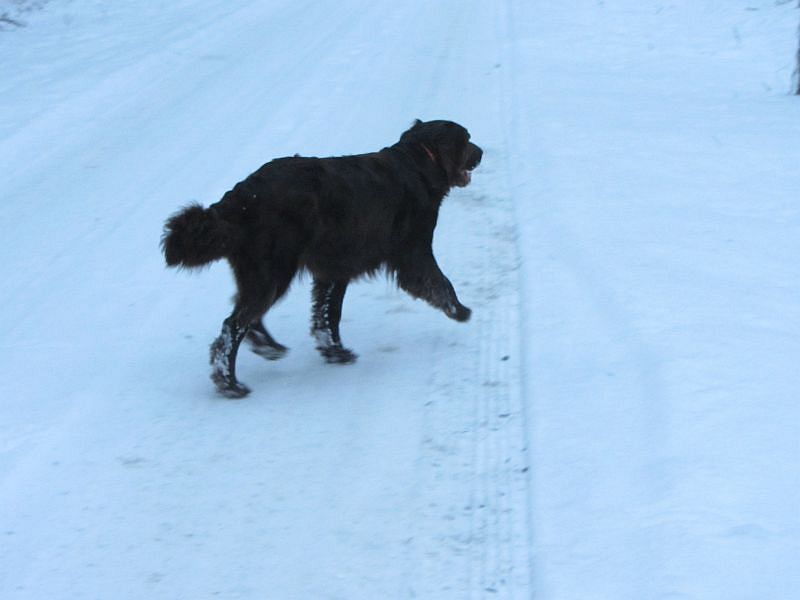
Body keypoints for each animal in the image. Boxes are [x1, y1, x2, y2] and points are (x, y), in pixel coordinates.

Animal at [162, 119, 482, 397]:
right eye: (466, 139)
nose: (481, 152)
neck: (418, 162)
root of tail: (241, 198)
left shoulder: (334, 269)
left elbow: (327, 316)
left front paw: (334, 352)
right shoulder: (413, 253)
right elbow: (440, 283)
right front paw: (460, 310)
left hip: (262, 274)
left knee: (245, 315)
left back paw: (267, 347)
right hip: (274, 272)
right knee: (233, 326)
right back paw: (230, 384)